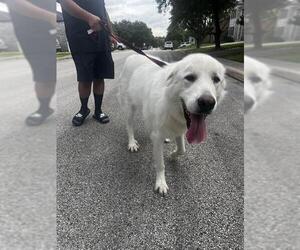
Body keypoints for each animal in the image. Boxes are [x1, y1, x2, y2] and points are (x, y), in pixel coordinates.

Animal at [118, 53, 226, 195]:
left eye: (216, 79)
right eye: (190, 77)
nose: (207, 103)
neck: (171, 105)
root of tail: (133, 55)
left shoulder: (179, 130)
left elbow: (182, 150)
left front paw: (172, 155)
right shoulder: (157, 136)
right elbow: (160, 164)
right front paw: (161, 183)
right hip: (130, 108)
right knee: (129, 126)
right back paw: (132, 143)